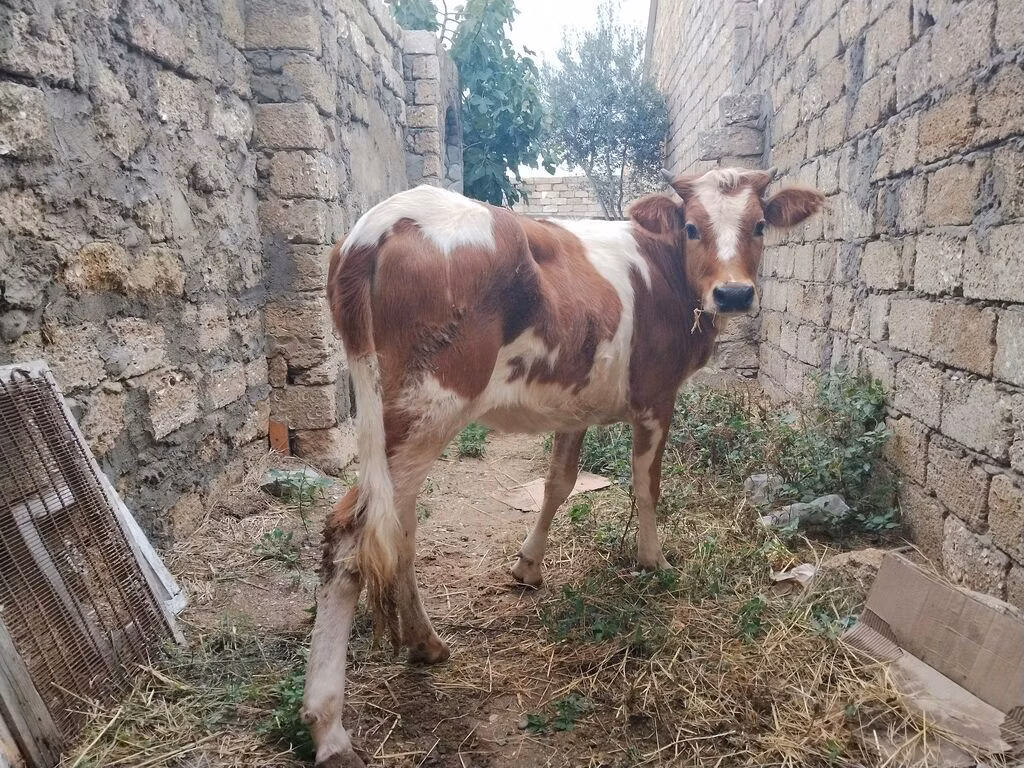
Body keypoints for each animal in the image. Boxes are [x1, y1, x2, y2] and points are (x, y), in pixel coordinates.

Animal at [301, 168, 825, 767]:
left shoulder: (576, 402)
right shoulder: (657, 396)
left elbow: (559, 482)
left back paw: (425, 643)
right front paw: (653, 561)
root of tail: (380, 222)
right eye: (693, 227)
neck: (664, 270)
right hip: (428, 404)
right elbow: (646, 485)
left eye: (760, 225)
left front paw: (528, 564)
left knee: (396, 527)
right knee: (350, 535)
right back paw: (329, 727)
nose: (734, 292)